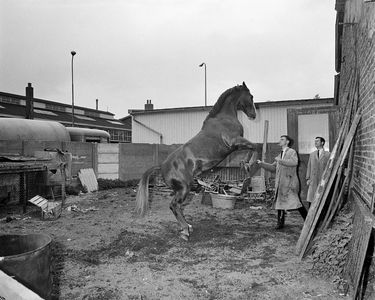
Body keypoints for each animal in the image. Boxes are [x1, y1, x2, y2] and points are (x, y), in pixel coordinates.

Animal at [135, 81, 262, 240]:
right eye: (251, 96)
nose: (253, 115)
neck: (224, 118)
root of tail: (162, 165)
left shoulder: (237, 144)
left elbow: (251, 147)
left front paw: (244, 164)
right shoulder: (235, 141)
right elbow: (255, 146)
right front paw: (249, 164)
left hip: (181, 190)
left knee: (177, 207)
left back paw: (187, 226)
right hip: (185, 188)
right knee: (174, 206)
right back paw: (185, 230)